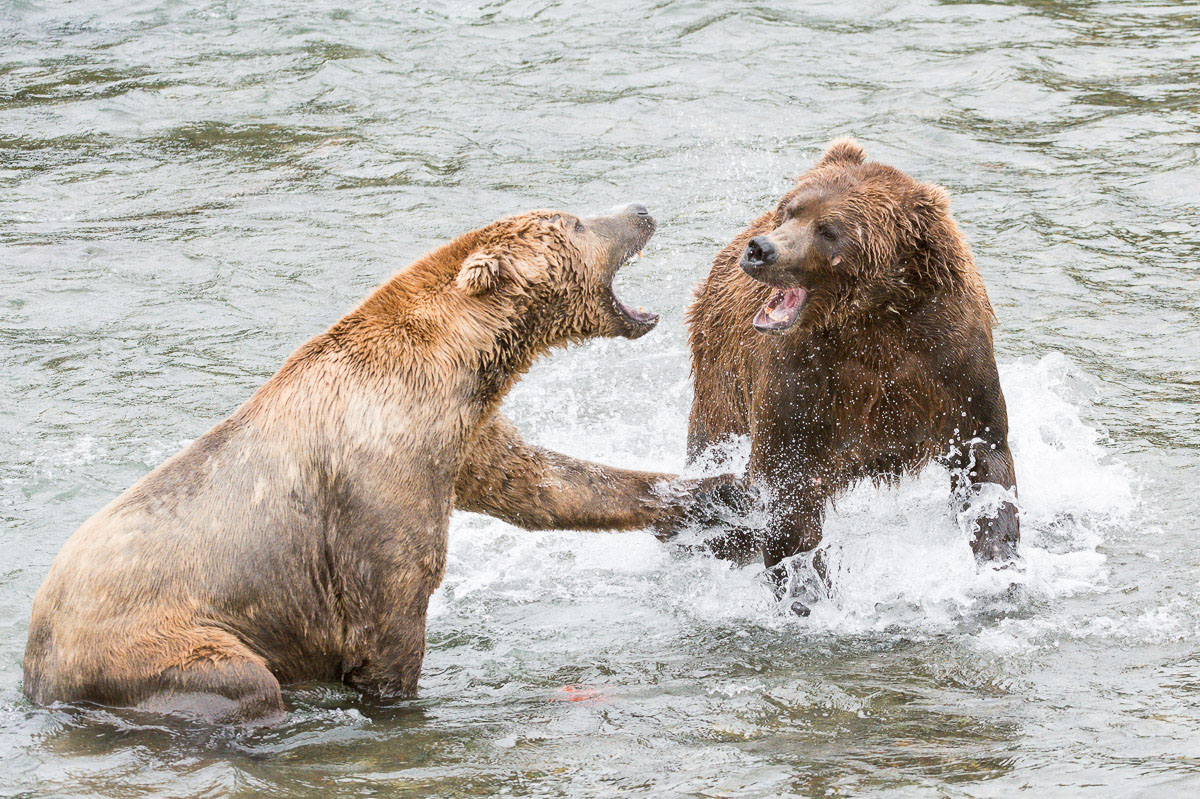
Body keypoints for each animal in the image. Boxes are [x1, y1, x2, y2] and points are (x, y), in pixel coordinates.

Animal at [25, 203, 739, 719]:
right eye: (576, 222)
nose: (641, 210)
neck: (456, 366)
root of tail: (33, 665)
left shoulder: (462, 440)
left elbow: (550, 485)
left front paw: (720, 490)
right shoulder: (379, 475)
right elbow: (390, 614)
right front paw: (401, 701)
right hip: (156, 639)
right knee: (240, 684)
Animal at [691, 139, 1017, 597]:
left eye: (829, 230)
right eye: (790, 209)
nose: (760, 249)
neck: (872, 320)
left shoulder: (950, 359)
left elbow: (984, 461)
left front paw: (1000, 561)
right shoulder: (803, 379)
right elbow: (787, 493)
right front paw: (805, 591)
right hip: (723, 378)